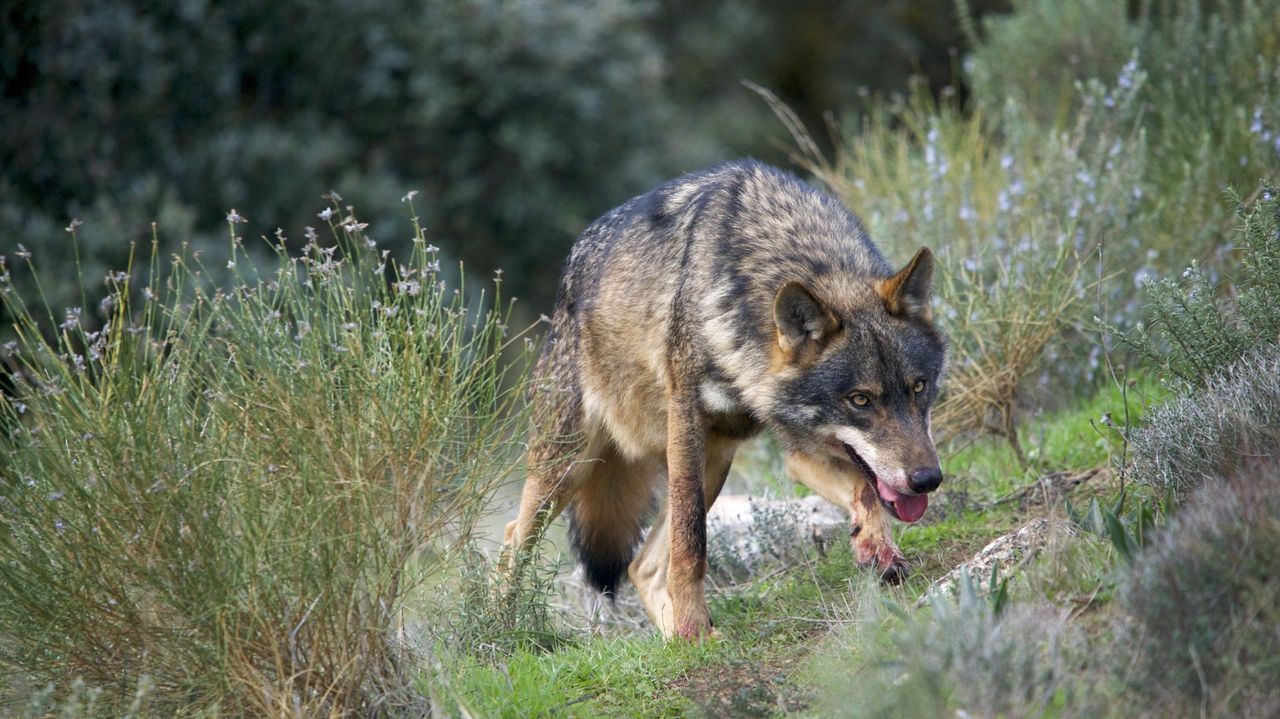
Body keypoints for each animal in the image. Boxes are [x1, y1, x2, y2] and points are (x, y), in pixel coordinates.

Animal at [503, 159, 947, 639]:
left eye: (919, 387)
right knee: (513, 539)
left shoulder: (800, 447)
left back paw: (680, 641)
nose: (927, 479)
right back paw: (500, 628)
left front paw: (877, 548)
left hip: (714, 461)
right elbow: (691, 544)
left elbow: (865, 490)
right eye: (860, 400)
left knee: (642, 566)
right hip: (570, 467)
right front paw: (692, 622)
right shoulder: (687, 419)